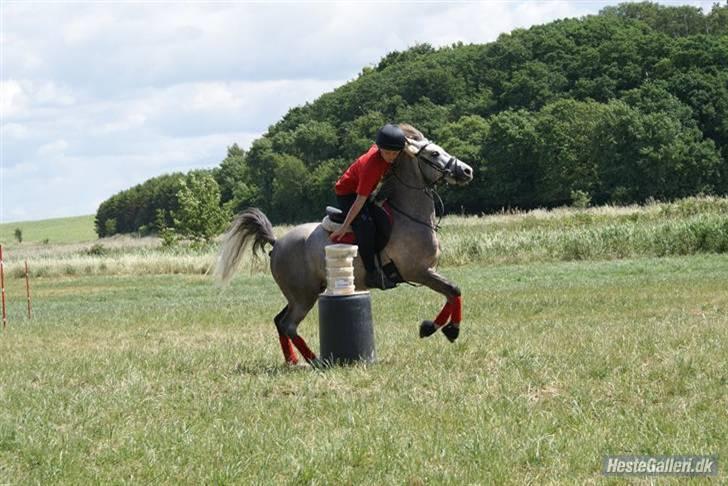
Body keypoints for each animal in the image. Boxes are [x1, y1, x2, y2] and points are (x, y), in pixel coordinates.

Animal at [213, 125, 474, 364]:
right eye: (434, 154)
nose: (467, 170)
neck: (408, 216)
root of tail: (277, 243)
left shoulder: (427, 272)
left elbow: (452, 294)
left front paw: (437, 328)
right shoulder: (418, 272)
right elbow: (454, 290)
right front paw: (445, 329)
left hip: (301, 293)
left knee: (279, 320)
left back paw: (293, 360)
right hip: (304, 296)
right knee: (288, 324)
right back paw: (316, 360)